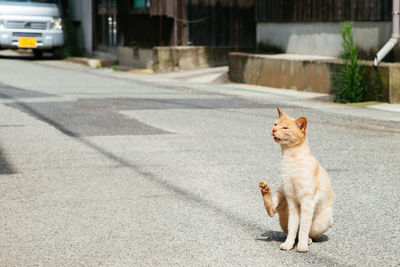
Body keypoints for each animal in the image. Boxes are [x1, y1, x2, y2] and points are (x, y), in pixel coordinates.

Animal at [258, 107, 332, 253]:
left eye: (285, 128)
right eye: (275, 124)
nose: (273, 130)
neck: (289, 158)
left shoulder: (307, 202)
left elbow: (303, 227)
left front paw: (301, 246)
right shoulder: (291, 200)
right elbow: (293, 227)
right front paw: (288, 244)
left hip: (326, 218)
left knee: (307, 233)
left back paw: (307, 241)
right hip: (281, 190)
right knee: (272, 211)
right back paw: (265, 189)